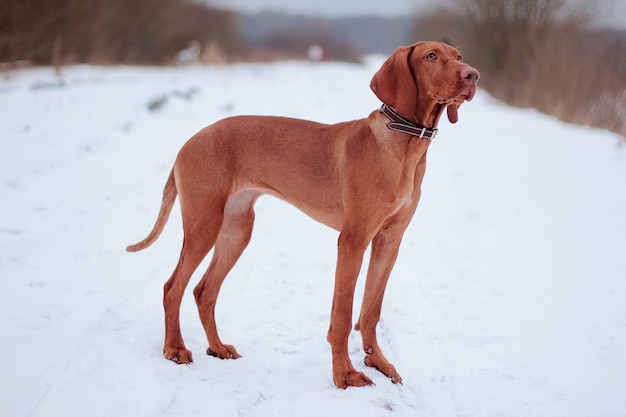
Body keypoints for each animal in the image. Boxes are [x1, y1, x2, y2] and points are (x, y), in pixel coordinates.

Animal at [127, 41, 478, 386]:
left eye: (459, 55)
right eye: (431, 56)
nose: (472, 75)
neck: (402, 143)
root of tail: (188, 142)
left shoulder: (389, 241)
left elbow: (370, 311)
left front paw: (378, 362)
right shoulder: (353, 241)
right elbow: (343, 316)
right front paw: (345, 374)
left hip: (237, 230)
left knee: (204, 290)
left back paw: (217, 347)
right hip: (204, 224)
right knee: (173, 287)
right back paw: (175, 349)